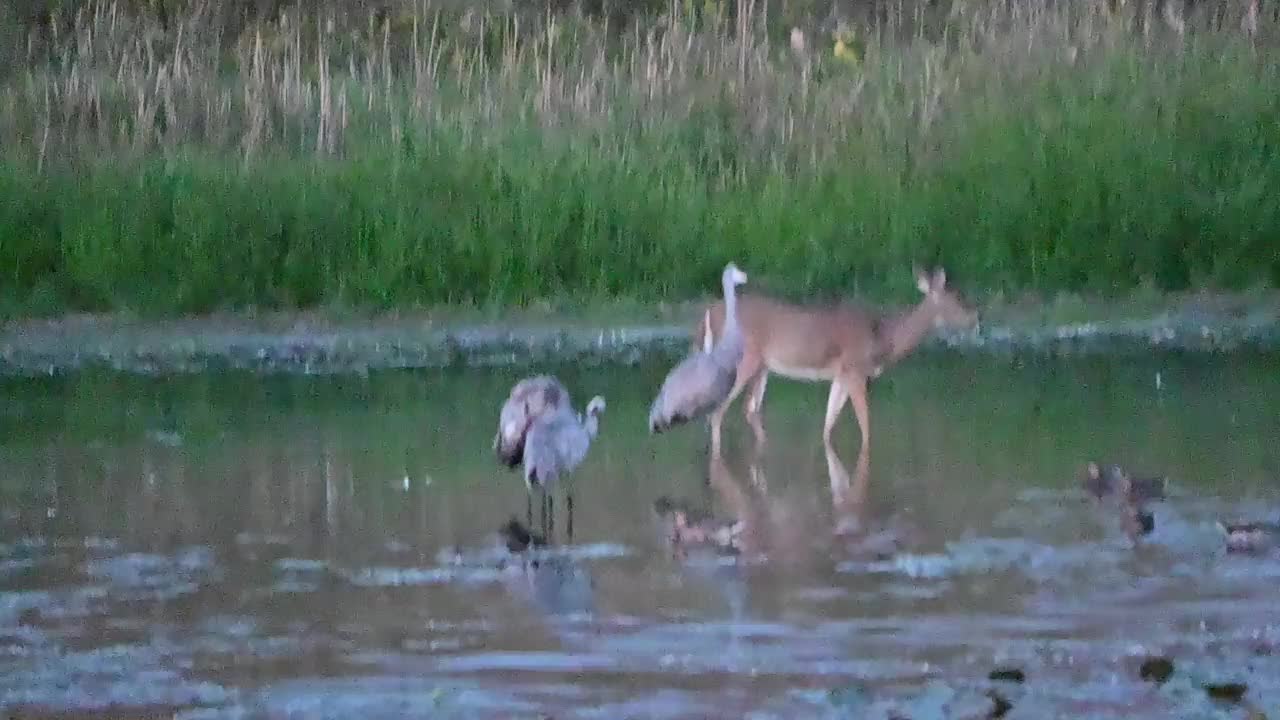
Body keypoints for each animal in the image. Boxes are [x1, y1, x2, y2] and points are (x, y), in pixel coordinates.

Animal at [691, 266, 977, 450]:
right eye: (957, 298)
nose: (976, 316)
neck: (884, 337)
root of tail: (709, 312)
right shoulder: (856, 370)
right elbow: (866, 427)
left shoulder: (840, 375)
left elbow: (828, 426)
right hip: (742, 361)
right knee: (716, 413)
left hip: (761, 367)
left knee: (747, 409)